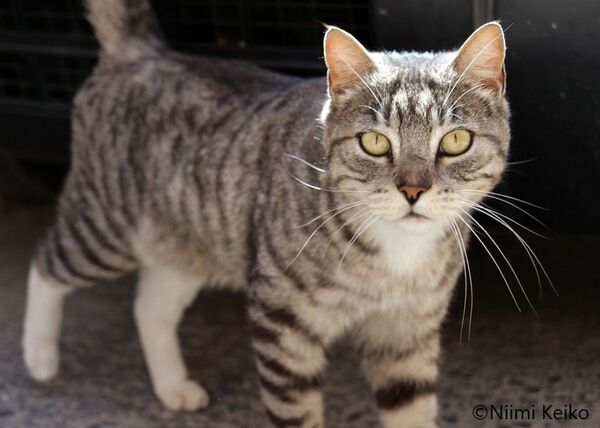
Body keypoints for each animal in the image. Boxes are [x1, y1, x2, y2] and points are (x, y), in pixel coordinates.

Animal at [22, 0, 510, 427]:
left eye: (455, 141)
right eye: (374, 143)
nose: (412, 190)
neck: (397, 254)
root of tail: (143, 51)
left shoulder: (407, 333)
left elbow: (411, 410)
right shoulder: (283, 324)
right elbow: (297, 414)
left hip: (186, 245)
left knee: (149, 309)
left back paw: (173, 387)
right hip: (106, 225)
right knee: (46, 266)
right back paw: (39, 358)